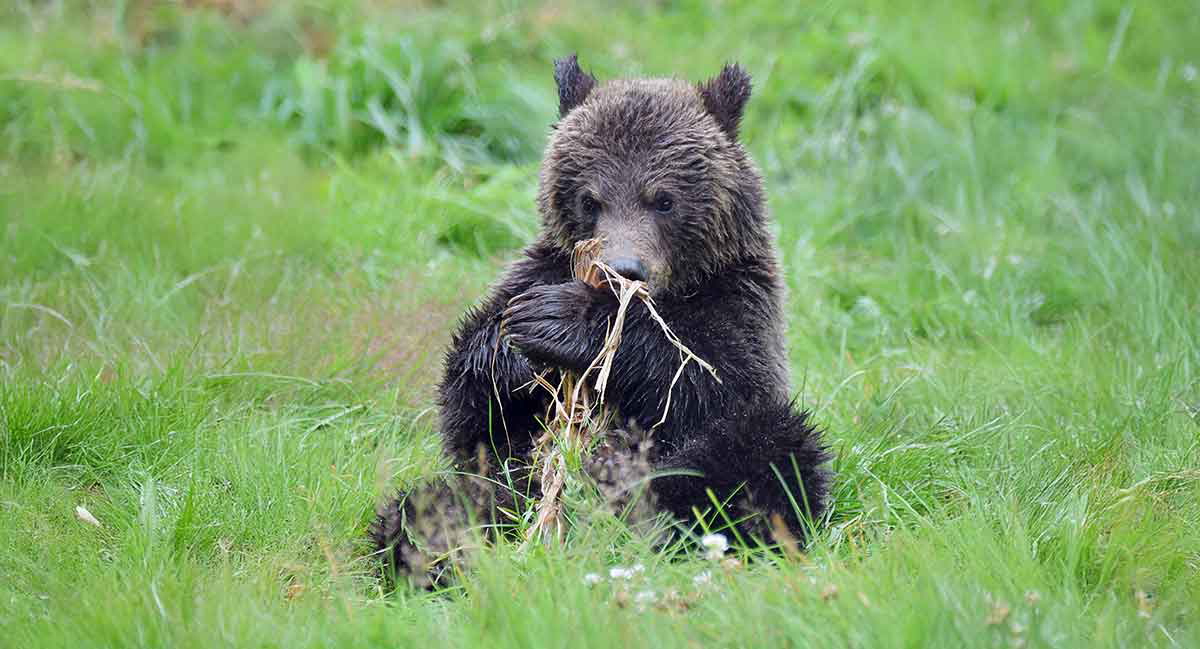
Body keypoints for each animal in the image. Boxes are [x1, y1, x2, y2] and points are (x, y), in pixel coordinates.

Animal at [371, 56, 830, 584]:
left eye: (663, 198)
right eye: (591, 199)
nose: (623, 269)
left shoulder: (740, 304)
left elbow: (711, 380)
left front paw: (564, 321)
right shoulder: (536, 272)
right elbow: (472, 419)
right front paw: (510, 352)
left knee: (764, 450)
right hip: (514, 490)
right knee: (445, 501)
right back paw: (431, 545)